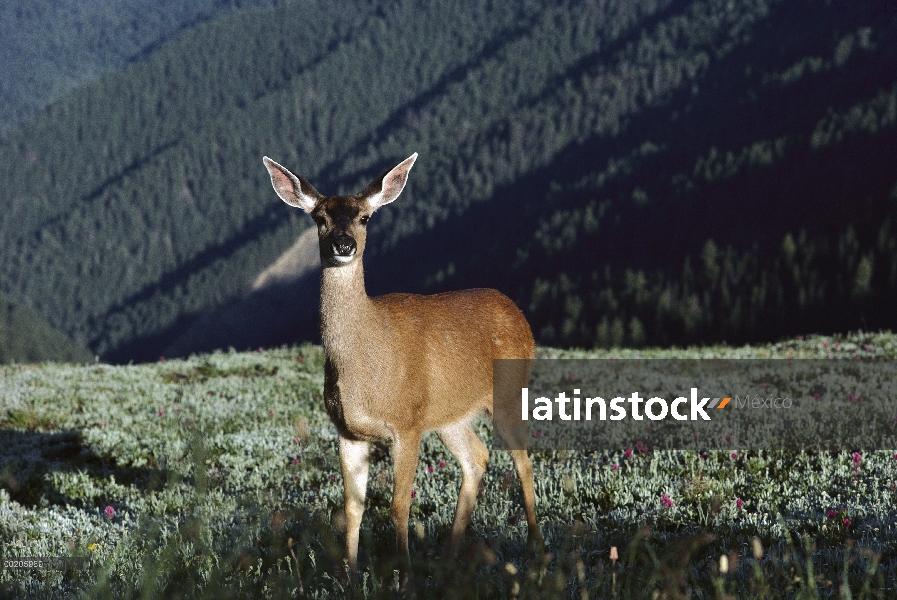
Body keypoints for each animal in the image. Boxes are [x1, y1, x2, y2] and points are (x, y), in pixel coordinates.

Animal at [260, 152, 540, 584]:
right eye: (320, 217)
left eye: (364, 217)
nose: (344, 245)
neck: (362, 369)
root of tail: (518, 314)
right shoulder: (348, 431)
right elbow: (353, 507)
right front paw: (349, 575)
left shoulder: (406, 423)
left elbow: (398, 505)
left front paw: (404, 577)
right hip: (448, 415)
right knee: (476, 457)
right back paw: (447, 560)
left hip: (507, 395)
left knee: (523, 461)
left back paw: (535, 550)